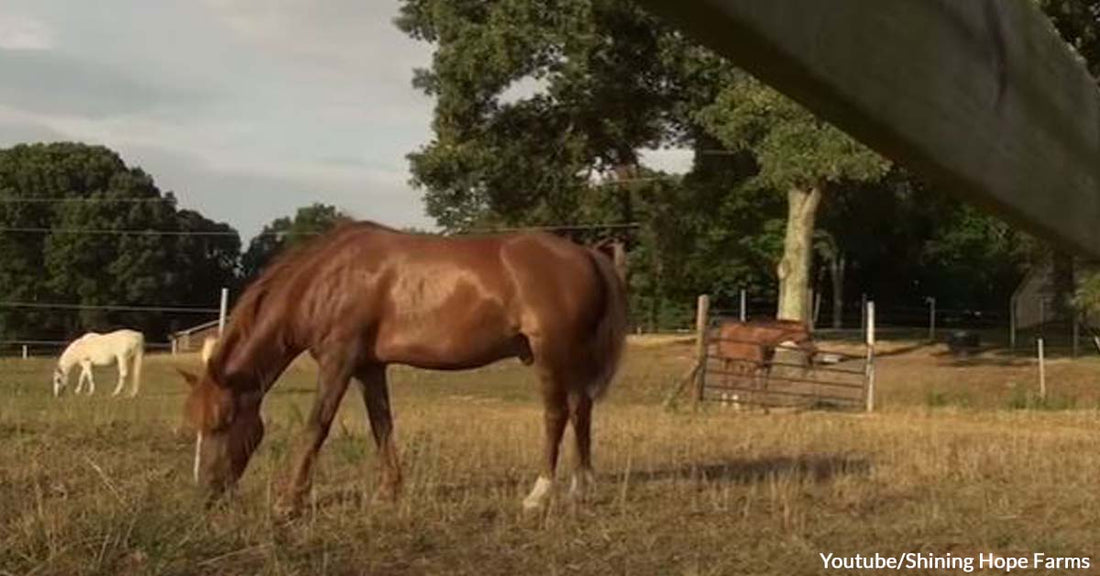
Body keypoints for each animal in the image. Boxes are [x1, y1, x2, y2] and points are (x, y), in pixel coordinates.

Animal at [180, 222, 629, 512]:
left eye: (222, 422)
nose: (208, 495)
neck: (328, 277)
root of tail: (587, 254)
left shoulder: (338, 361)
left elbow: (316, 428)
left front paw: (291, 501)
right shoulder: (369, 368)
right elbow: (383, 426)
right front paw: (389, 492)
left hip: (551, 353)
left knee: (556, 415)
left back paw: (540, 494)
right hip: (573, 355)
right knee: (582, 411)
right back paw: (582, 488)